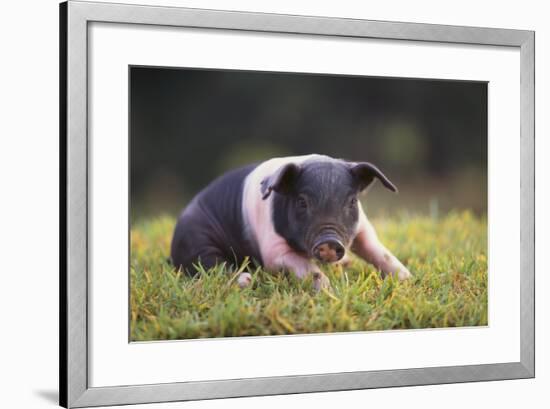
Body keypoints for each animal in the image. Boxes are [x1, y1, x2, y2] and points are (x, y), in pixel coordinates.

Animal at [170, 154, 412, 290]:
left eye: (352, 201)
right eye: (301, 202)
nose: (330, 241)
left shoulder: (362, 227)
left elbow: (378, 251)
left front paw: (407, 278)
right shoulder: (273, 251)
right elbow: (307, 267)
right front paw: (327, 290)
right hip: (196, 240)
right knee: (211, 264)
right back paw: (246, 281)